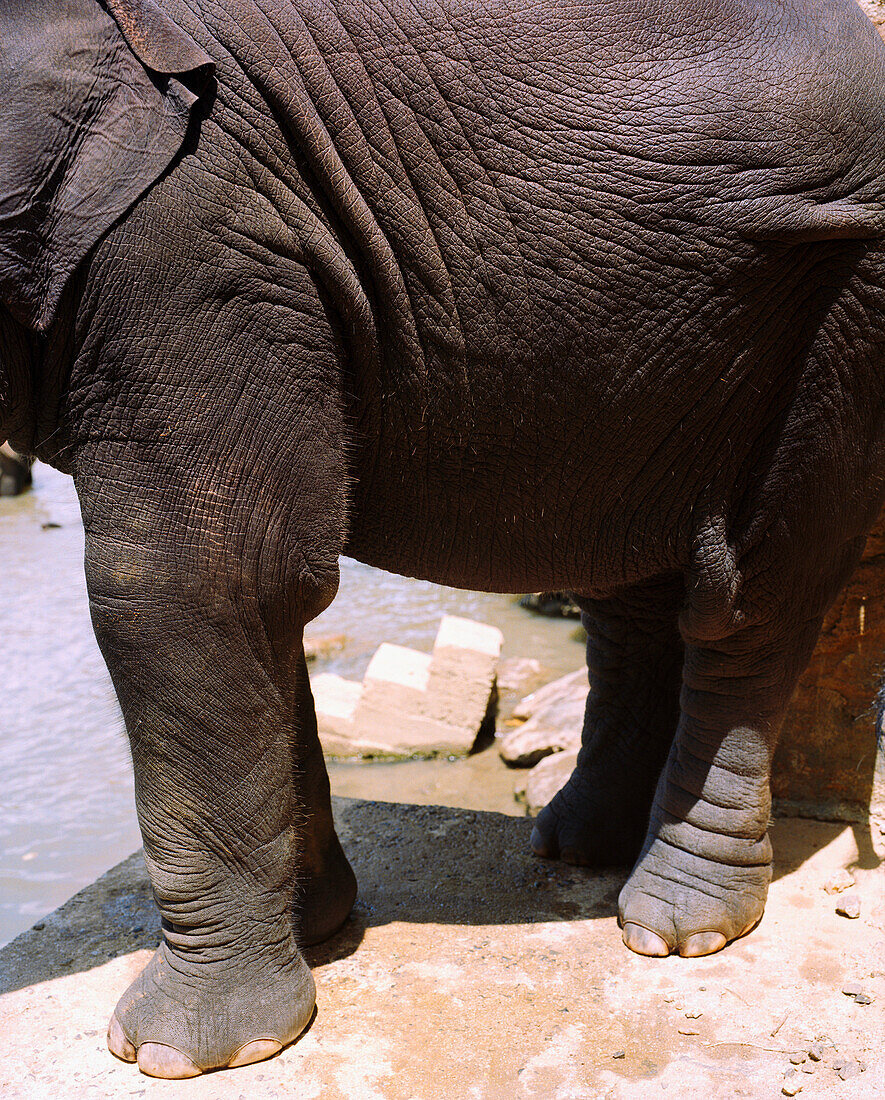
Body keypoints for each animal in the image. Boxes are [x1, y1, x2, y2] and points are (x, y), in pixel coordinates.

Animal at [1, 0, 883, 1073]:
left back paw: (675, 926)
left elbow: (196, 587)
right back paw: (578, 845)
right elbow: (260, 596)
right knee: (624, 581)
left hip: (840, 301)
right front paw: (317, 928)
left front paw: (183, 1055)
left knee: (745, 597)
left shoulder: (196, 249)